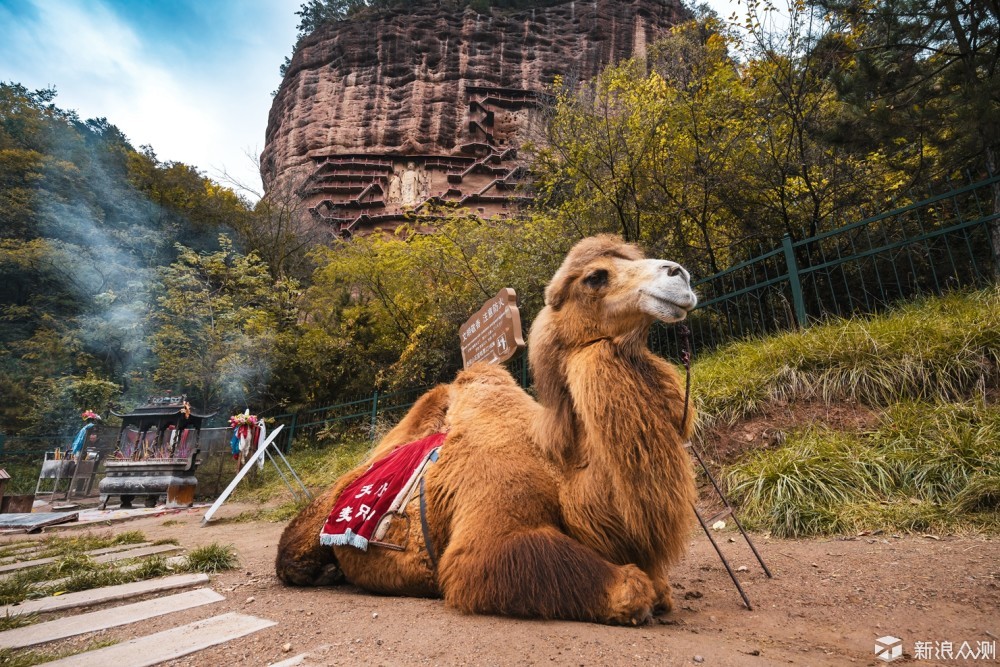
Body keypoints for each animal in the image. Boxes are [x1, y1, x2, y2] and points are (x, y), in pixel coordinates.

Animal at [274, 235, 696, 628]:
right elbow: (632, 589)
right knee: (291, 553)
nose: (681, 275)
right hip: (322, 510)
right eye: (596, 277)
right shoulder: (488, 531)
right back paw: (324, 572)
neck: (559, 471)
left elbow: (661, 588)